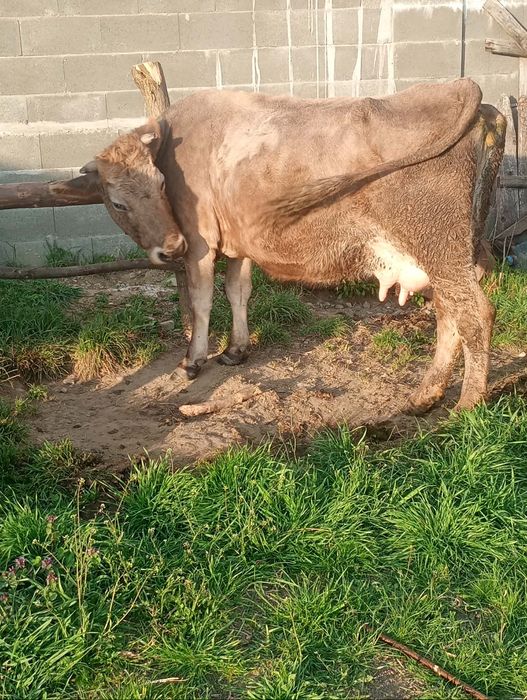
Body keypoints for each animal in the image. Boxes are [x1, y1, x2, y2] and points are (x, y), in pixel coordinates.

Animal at [75, 78, 505, 412]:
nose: (170, 247)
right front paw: (236, 350)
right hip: (446, 254)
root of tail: (464, 93)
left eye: (162, 184)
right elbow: (238, 292)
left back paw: (467, 404)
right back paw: (426, 396)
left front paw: (193, 360)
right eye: (118, 201)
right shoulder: (240, 242)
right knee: (449, 314)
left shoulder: (201, 243)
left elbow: (201, 301)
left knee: (475, 314)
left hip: (441, 247)